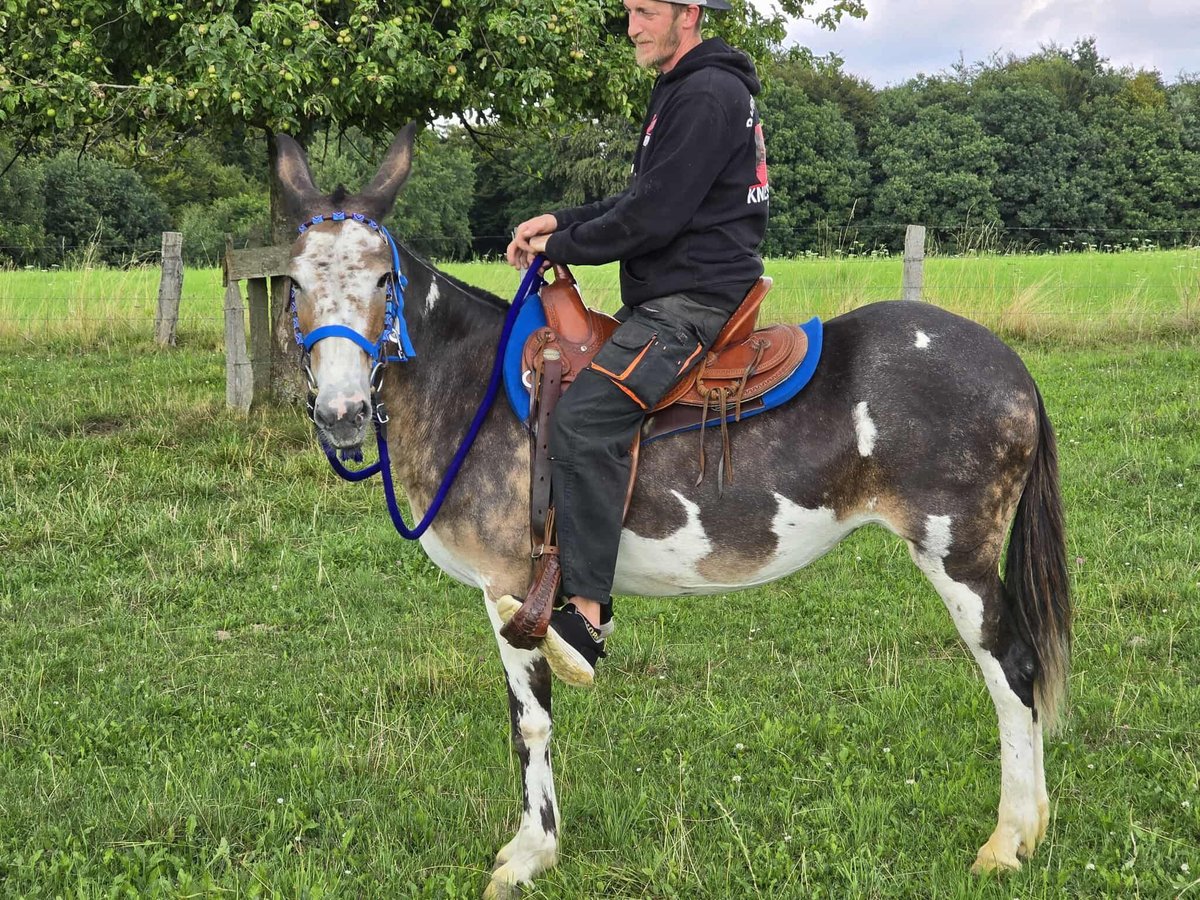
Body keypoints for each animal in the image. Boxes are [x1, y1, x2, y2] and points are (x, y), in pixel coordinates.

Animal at [275, 126, 1070, 899]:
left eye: (384, 279)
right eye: (293, 283)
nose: (342, 413)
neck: (475, 386)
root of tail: (1009, 363)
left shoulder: (509, 587)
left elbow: (530, 724)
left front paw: (533, 852)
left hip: (957, 555)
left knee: (1011, 670)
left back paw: (1007, 840)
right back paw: (1032, 828)